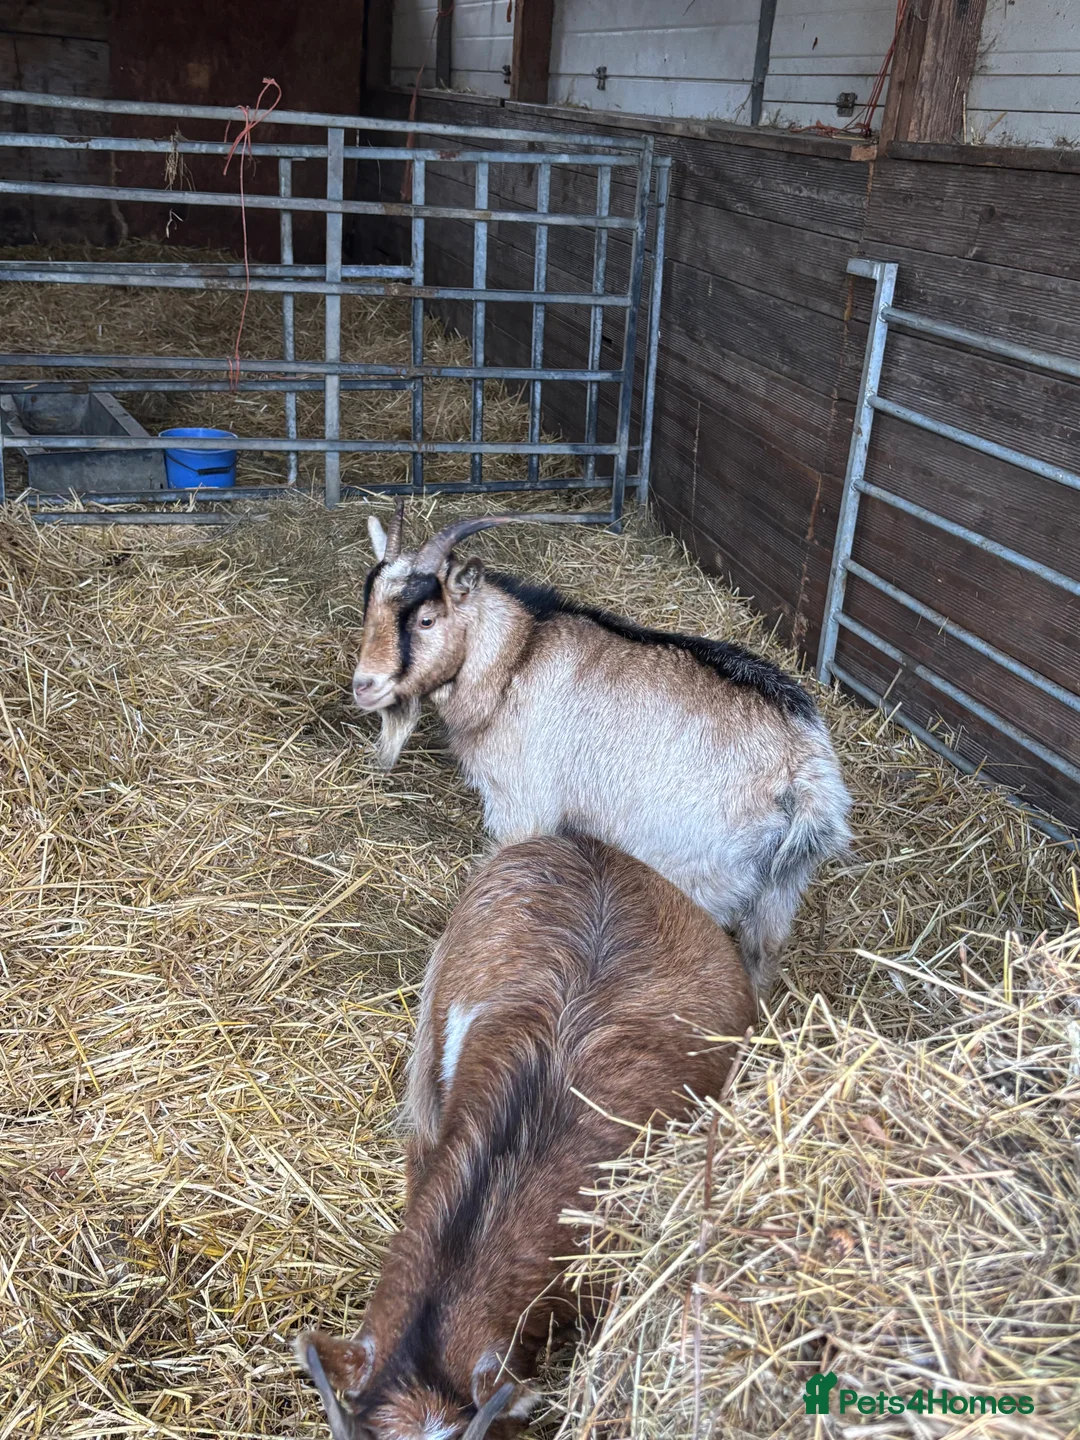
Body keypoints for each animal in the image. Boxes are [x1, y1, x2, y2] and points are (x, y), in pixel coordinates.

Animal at [350, 504, 851, 994]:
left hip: (697, 874)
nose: (364, 686)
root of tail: (803, 773)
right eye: (368, 607)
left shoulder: (521, 806)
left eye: (426, 619)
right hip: (781, 889)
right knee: (762, 954)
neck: (516, 659)